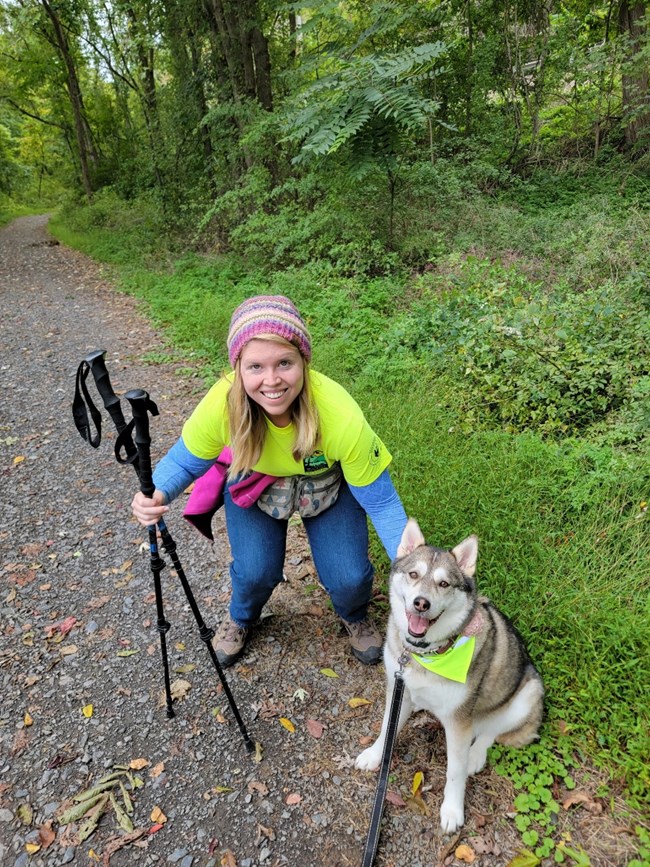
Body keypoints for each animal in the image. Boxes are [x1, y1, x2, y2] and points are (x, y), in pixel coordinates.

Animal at [354, 520, 540, 836]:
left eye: (444, 584)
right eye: (414, 574)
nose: (421, 603)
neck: (427, 654)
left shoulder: (459, 721)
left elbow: (455, 771)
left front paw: (452, 810)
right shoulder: (397, 689)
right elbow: (387, 728)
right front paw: (375, 755)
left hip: (528, 694)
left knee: (492, 730)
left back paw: (476, 755)